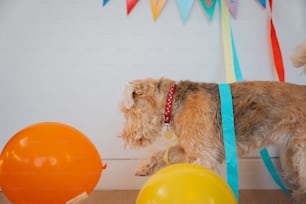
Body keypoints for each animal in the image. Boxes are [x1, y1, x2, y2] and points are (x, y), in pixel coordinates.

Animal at [119, 77, 306, 203]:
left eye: (127, 111)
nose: (124, 137)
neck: (171, 104)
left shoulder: (205, 155)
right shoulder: (191, 149)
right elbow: (164, 154)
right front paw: (144, 168)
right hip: (290, 154)